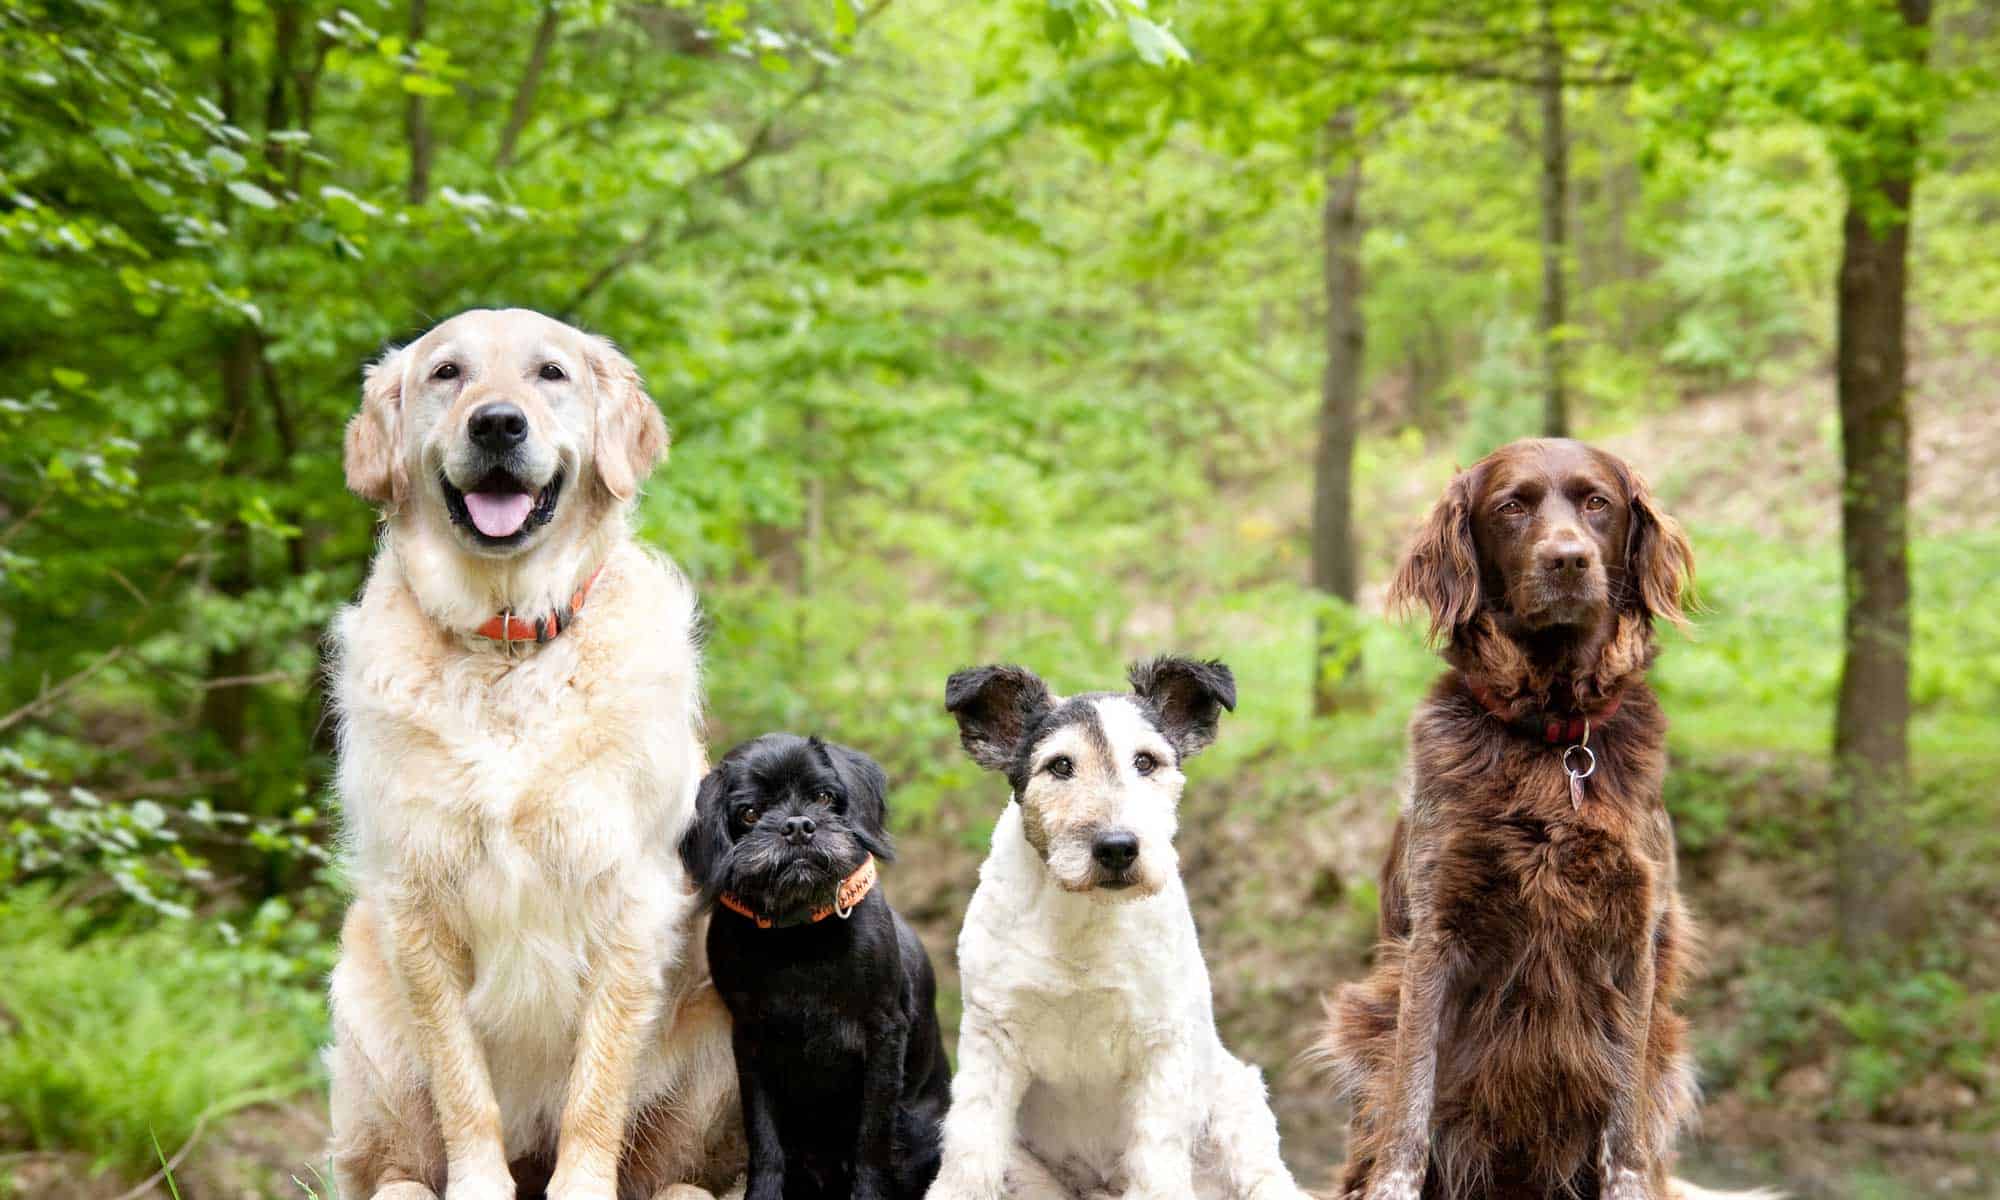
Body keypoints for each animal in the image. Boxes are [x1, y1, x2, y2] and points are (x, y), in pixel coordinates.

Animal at [328, 310, 744, 1200]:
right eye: (447, 372)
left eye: (550, 373)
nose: (497, 424)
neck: (508, 643)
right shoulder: (416, 902)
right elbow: (462, 1084)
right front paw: (479, 1185)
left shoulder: (630, 896)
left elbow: (598, 1085)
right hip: (366, 1026)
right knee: (390, 1170)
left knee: (680, 1173)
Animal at [680, 732, 952, 1200]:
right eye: (750, 813)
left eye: (824, 797)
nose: (797, 825)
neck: (799, 934)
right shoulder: (749, 1041)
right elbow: (764, 1138)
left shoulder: (883, 1035)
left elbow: (871, 1138)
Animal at [1312, 440, 1704, 1200]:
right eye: (1511, 507)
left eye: (1597, 503)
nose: (1567, 560)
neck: (1554, 737)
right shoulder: (1435, 934)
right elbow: (1409, 1108)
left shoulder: (1633, 939)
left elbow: (1625, 1126)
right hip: (1362, 1020)